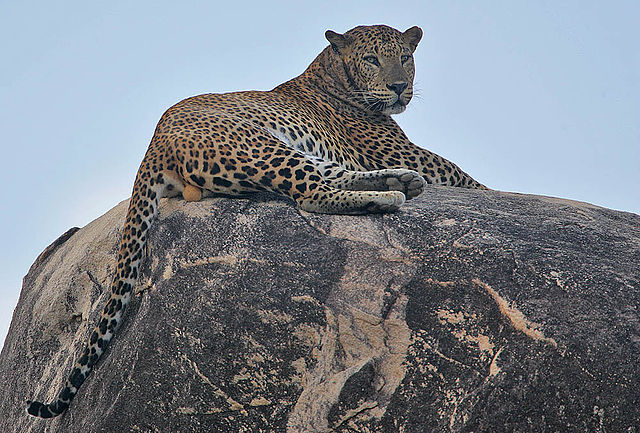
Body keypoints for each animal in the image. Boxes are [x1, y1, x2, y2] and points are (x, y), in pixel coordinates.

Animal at [26, 24, 486, 418]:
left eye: (406, 57)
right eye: (373, 59)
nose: (399, 87)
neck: (331, 74)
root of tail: (153, 145)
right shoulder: (414, 155)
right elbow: (468, 177)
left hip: (291, 151)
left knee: (330, 175)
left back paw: (399, 183)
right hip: (263, 146)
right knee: (312, 193)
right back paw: (389, 195)